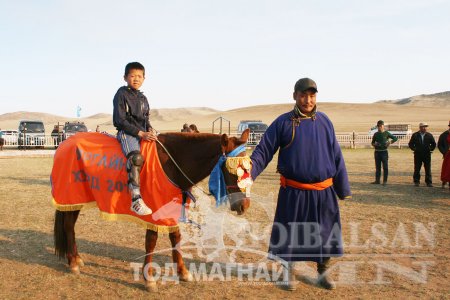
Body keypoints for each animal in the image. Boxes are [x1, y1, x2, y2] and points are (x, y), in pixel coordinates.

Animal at [54, 129, 251, 290]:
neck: (172, 163)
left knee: (70, 226)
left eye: (249, 166)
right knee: (68, 226)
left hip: (77, 200)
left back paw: (76, 258)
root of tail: (64, 144)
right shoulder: (155, 211)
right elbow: (151, 241)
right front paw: (149, 279)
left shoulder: (173, 209)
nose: (244, 205)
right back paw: (73, 263)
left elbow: (175, 237)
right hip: (70, 197)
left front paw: (183, 272)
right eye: (234, 169)